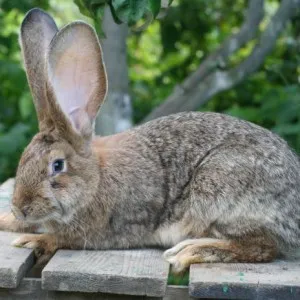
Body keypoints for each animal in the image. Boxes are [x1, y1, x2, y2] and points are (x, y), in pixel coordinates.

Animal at [0, 8, 300, 274]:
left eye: (58, 165)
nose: (21, 208)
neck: (96, 178)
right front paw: (6, 220)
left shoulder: (99, 230)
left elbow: (60, 239)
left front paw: (32, 240)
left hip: (219, 187)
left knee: (263, 247)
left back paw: (189, 251)